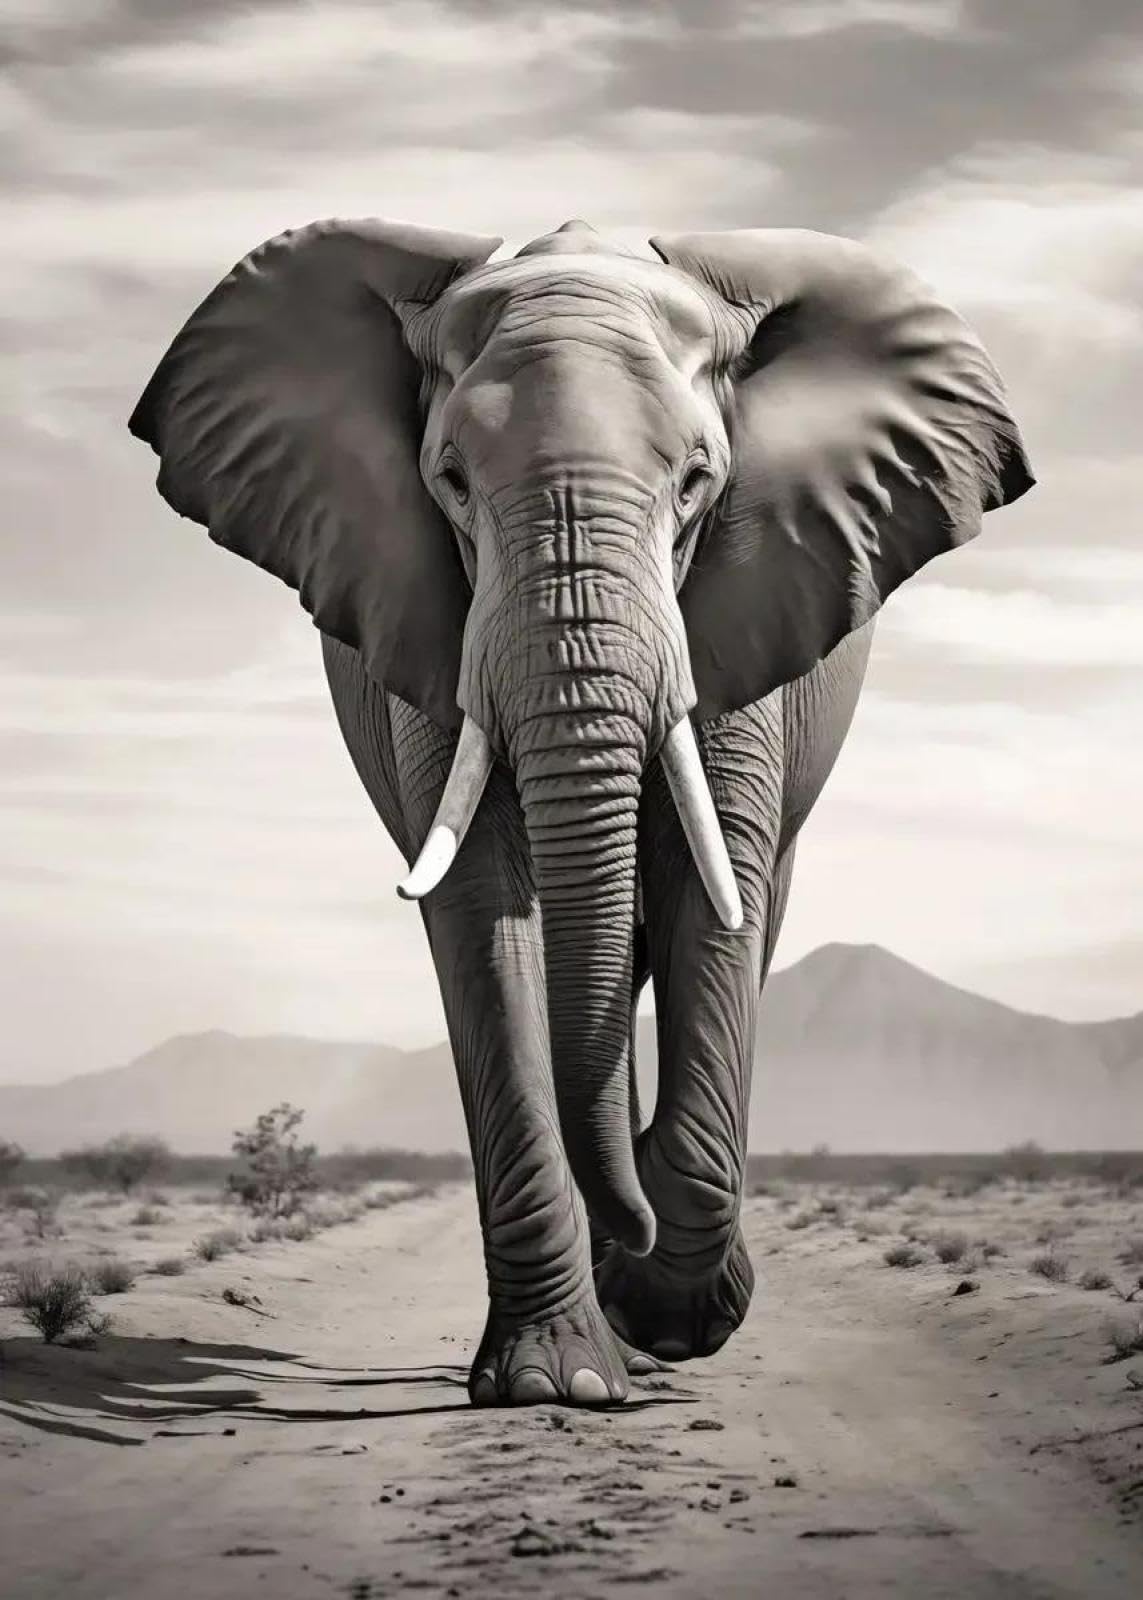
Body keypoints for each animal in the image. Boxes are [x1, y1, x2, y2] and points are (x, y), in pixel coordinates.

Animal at [129, 216, 1032, 1407]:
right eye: (449, 481)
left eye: (697, 482)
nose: (633, 1249)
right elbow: (481, 910)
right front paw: (558, 1382)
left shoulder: (743, 616)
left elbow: (710, 889)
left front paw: (669, 1309)